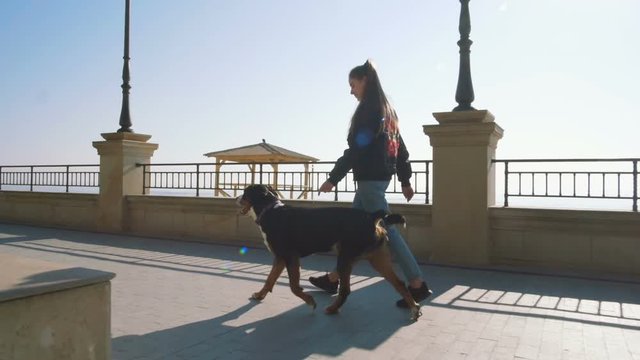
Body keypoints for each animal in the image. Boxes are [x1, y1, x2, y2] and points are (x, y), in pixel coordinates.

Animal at [235, 184, 420, 322]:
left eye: (245, 192)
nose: (236, 198)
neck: (270, 210)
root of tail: (371, 216)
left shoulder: (290, 256)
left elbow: (294, 287)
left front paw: (310, 301)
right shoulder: (280, 257)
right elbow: (269, 279)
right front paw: (260, 295)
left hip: (346, 257)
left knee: (345, 290)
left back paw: (332, 309)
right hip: (376, 259)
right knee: (399, 284)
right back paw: (414, 308)